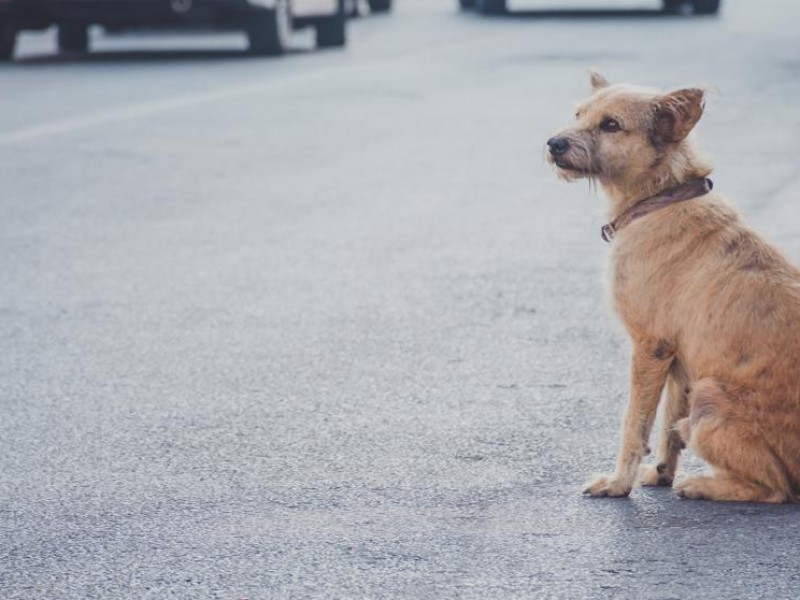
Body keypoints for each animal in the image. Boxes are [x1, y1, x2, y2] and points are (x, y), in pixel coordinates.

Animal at [548, 69, 800, 502]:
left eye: (610, 125)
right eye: (578, 114)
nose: (553, 143)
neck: (662, 197)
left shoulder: (649, 347)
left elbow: (634, 424)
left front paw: (619, 484)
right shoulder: (679, 361)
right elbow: (668, 425)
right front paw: (661, 472)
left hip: (710, 395)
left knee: (775, 489)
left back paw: (703, 486)